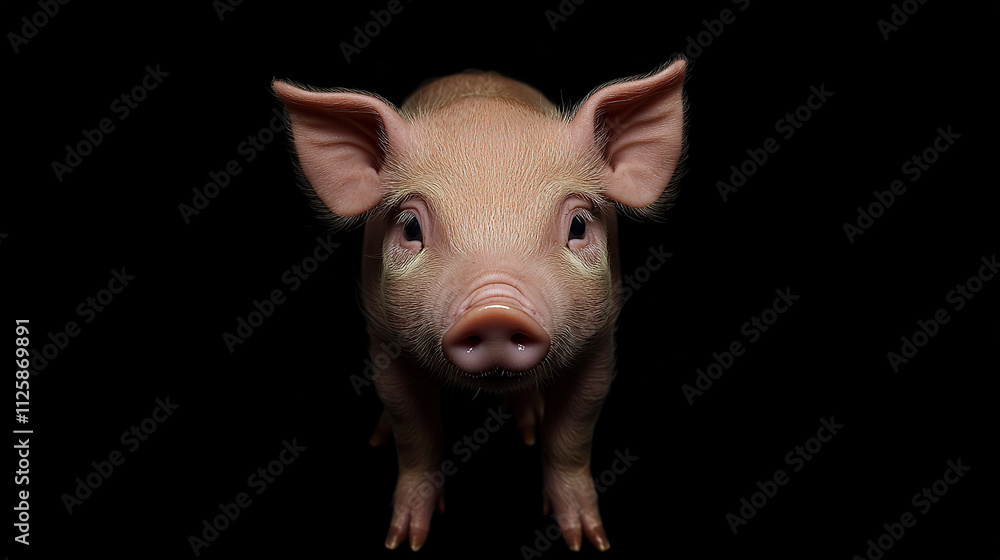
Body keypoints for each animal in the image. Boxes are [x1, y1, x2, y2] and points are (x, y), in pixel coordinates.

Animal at [273, 57, 687, 552]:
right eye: (410, 227)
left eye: (579, 226)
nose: (495, 312)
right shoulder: (383, 337)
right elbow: (414, 432)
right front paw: (404, 541)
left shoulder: (601, 338)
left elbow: (573, 431)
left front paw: (587, 541)